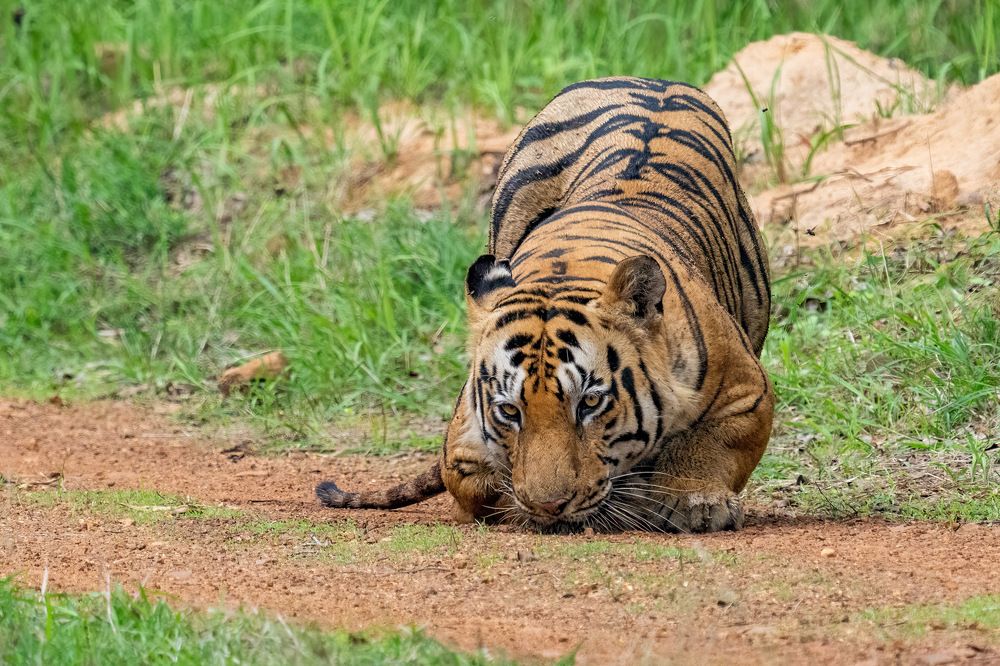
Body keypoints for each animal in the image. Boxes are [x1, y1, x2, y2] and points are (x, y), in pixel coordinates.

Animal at [316, 76, 773, 533]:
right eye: (509, 410)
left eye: (589, 403)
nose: (550, 506)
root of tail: (649, 80)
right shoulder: (460, 449)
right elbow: (486, 484)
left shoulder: (747, 392)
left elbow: (711, 445)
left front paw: (697, 503)